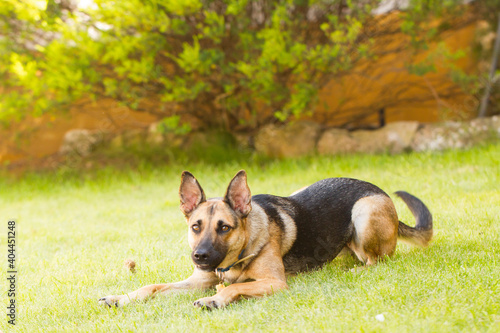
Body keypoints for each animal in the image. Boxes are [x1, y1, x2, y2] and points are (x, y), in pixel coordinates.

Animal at [99, 170, 432, 308]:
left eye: (224, 228)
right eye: (196, 226)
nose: (200, 257)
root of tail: (377, 189)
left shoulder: (274, 283)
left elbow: (234, 289)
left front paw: (215, 299)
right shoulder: (199, 278)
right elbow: (151, 286)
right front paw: (122, 297)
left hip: (363, 211)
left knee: (376, 260)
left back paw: (358, 269)